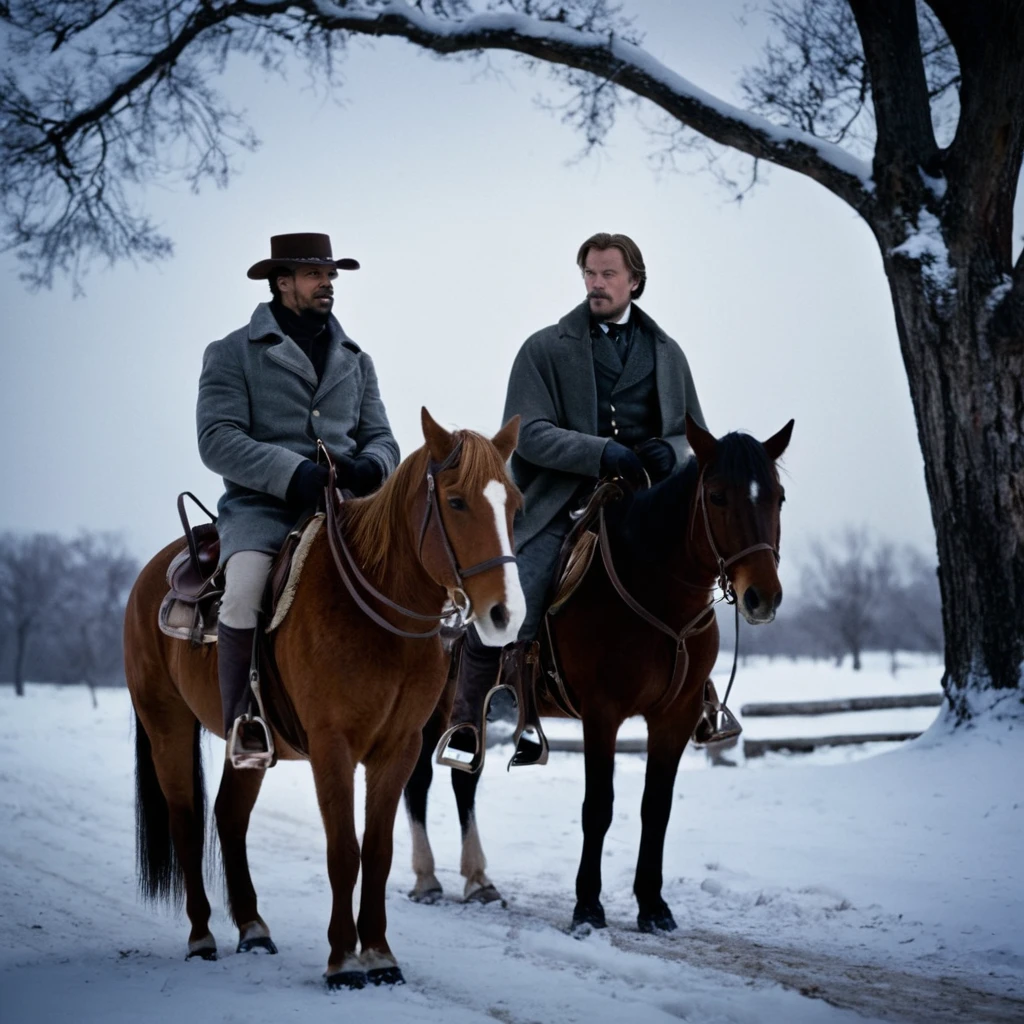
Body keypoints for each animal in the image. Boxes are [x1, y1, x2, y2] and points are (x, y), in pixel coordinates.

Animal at [124, 411, 524, 987]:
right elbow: (344, 851)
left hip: (251, 746)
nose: (504, 615)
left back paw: (253, 929)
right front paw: (342, 961)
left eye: (514, 504)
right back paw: (202, 937)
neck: (380, 618)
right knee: (186, 821)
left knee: (228, 816)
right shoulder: (332, 747)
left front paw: (379, 954)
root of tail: (150, 576)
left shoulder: (400, 748)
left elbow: (377, 850)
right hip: (167, 726)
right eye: (456, 501)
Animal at [401, 417, 790, 937]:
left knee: (465, 780)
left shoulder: (675, 716)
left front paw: (653, 906)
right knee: (419, 780)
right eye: (717, 496)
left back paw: (479, 881)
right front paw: (587, 905)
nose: (761, 596)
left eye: (778, 496)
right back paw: (426, 878)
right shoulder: (601, 713)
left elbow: (656, 807)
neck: (657, 594)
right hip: (431, 707)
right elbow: (598, 805)